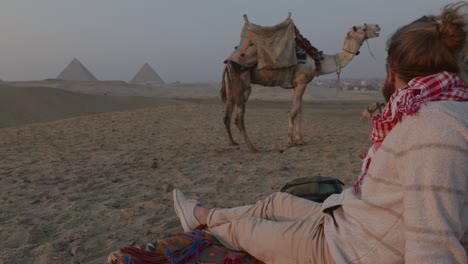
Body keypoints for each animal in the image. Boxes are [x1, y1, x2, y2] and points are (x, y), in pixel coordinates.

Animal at [220, 14, 380, 154]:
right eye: (363, 27)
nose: (378, 26)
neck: (317, 60)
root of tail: (229, 61)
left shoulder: (297, 85)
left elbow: (299, 112)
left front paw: (300, 140)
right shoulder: (302, 81)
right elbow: (293, 112)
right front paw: (290, 142)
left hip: (231, 85)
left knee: (227, 115)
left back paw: (233, 142)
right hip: (242, 81)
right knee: (238, 118)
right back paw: (253, 148)